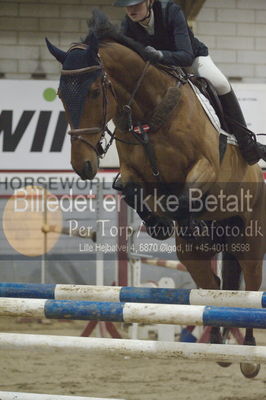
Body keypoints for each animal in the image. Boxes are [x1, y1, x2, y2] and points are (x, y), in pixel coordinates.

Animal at [46, 8, 266, 378]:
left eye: (94, 92)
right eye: (61, 95)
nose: (83, 165)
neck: (150, 110)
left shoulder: (205, 167)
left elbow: (182, 198)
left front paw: (179, 219)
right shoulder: (135, 175)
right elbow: (128, 190)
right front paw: (159, 223)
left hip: (249, 240)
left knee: (249, 288)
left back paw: (248, 356)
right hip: (193, 256)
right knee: (215, 287)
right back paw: (218, 345)